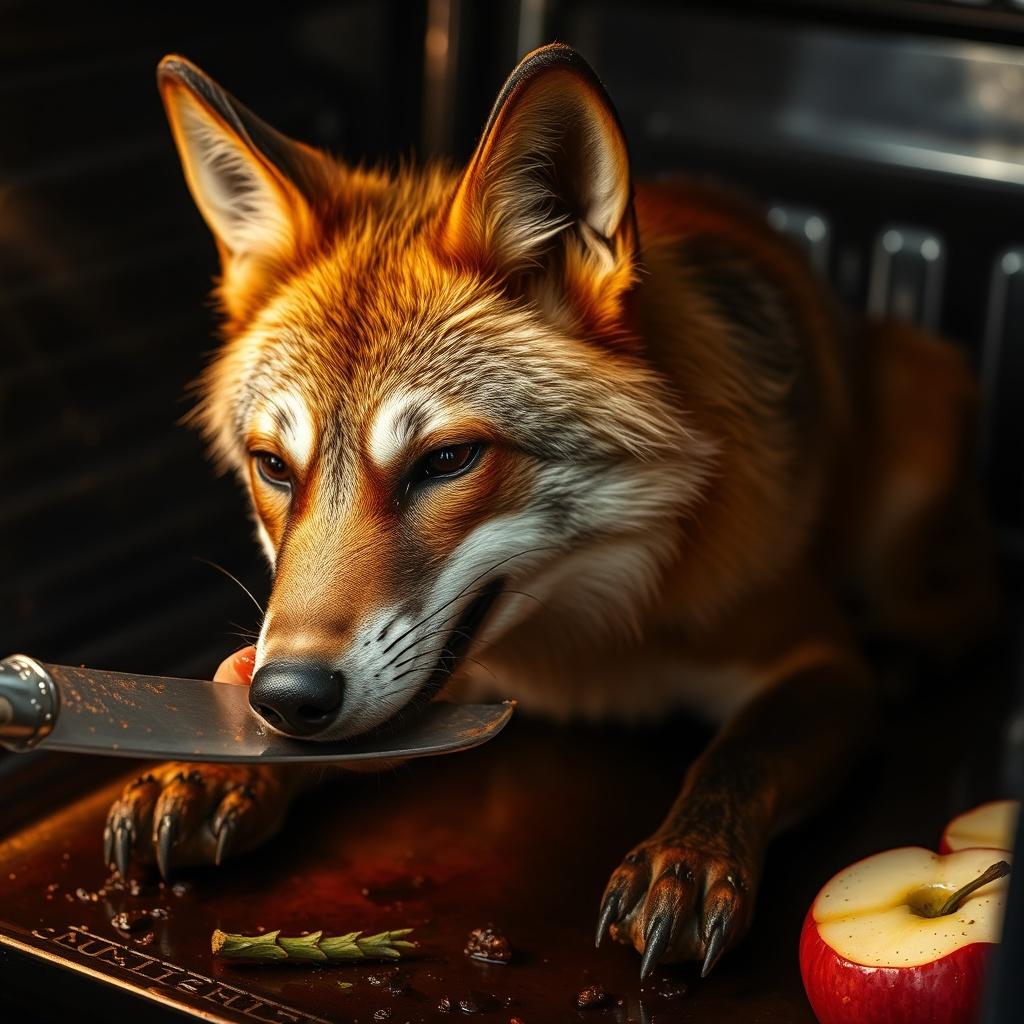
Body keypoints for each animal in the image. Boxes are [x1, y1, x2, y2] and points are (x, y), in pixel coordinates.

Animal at [103, 43, 993, 977]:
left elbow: (739, 757)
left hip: (917, 425)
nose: (288, 696)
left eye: (446, 461)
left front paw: (688, 856)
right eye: (274, 467)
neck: (589, 652)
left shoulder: (817, 659)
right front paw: (220, 771)